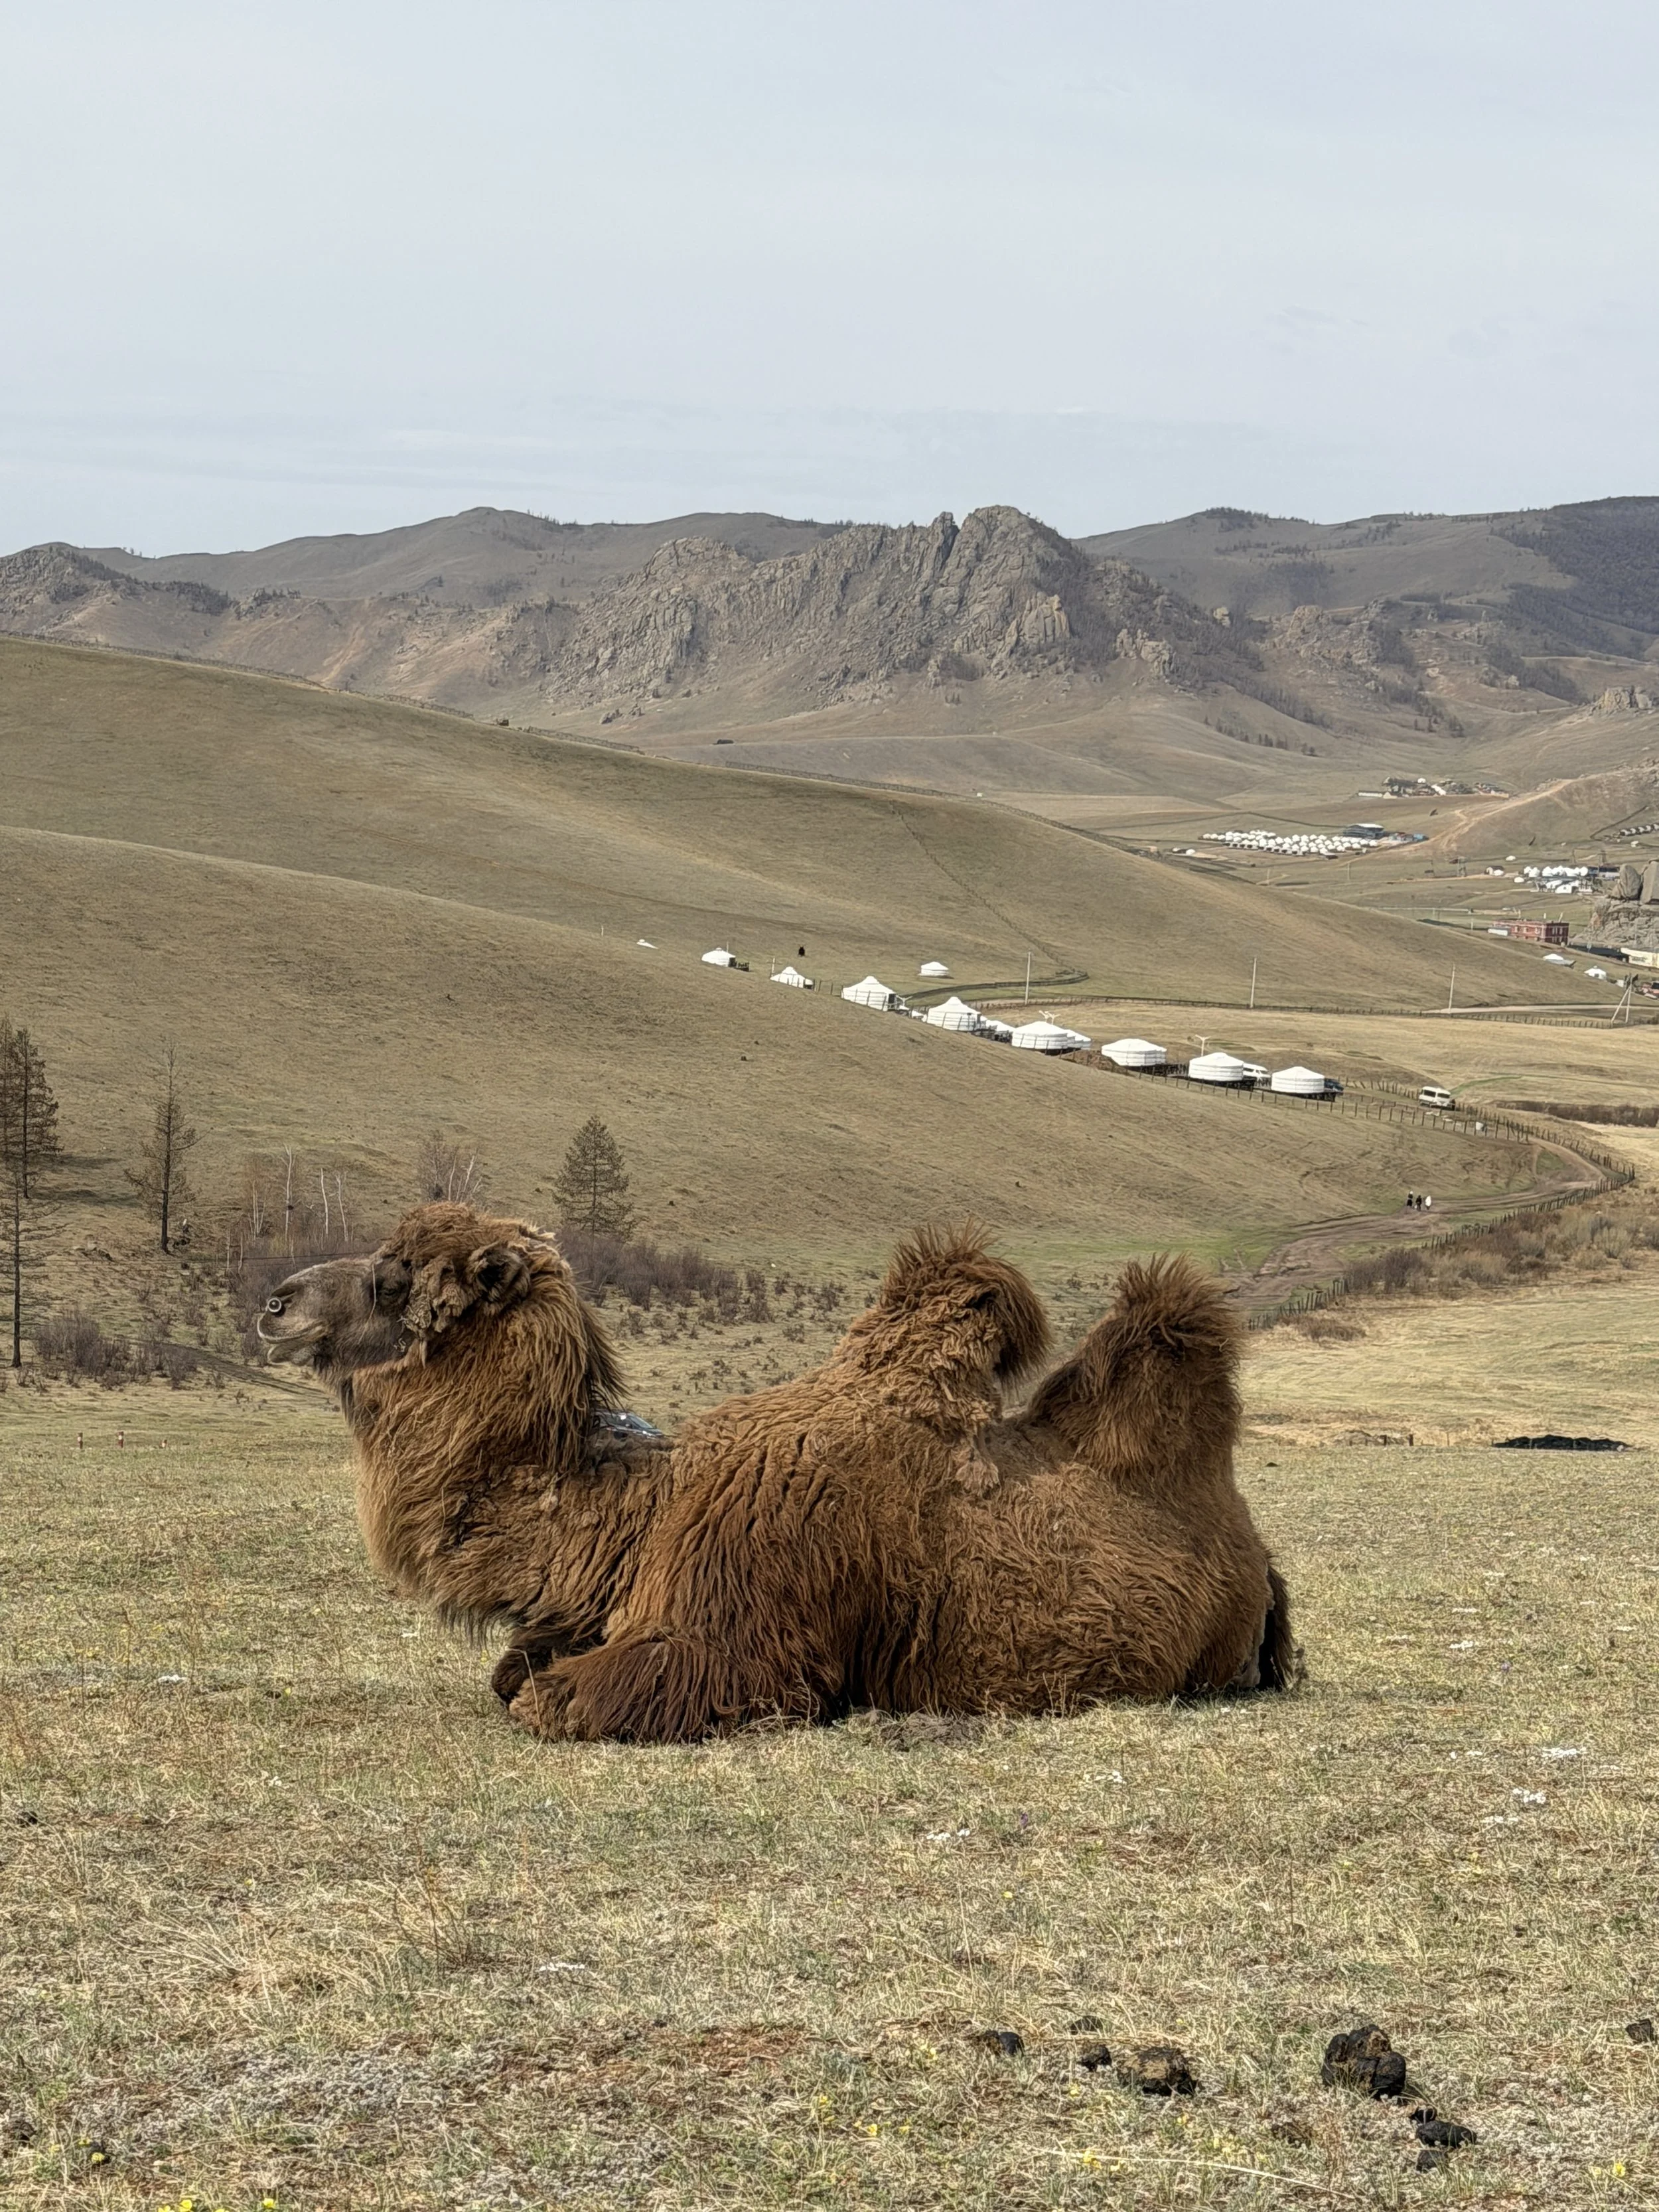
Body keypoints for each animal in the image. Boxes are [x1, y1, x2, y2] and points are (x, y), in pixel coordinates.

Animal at [257, 1203, 1297, 1741]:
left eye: (394, 1279)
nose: (275, 1303)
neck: (646, 1512)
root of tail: (1257, 1557)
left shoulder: (733, 1639)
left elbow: (548, 1698)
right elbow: (512, 1668)